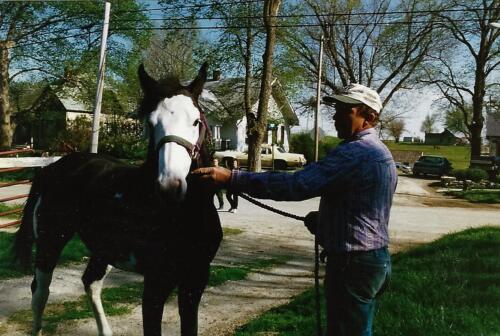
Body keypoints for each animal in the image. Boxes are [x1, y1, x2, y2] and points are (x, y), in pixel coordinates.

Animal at [12, 63, 223, 336]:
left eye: (196, 121)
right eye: (150, 123)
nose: (170, 186)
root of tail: (52, 167)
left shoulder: (195, 280)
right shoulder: (156, 283)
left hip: (103, 249)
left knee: (90, 283)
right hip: (51, 242)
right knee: (40, 292)